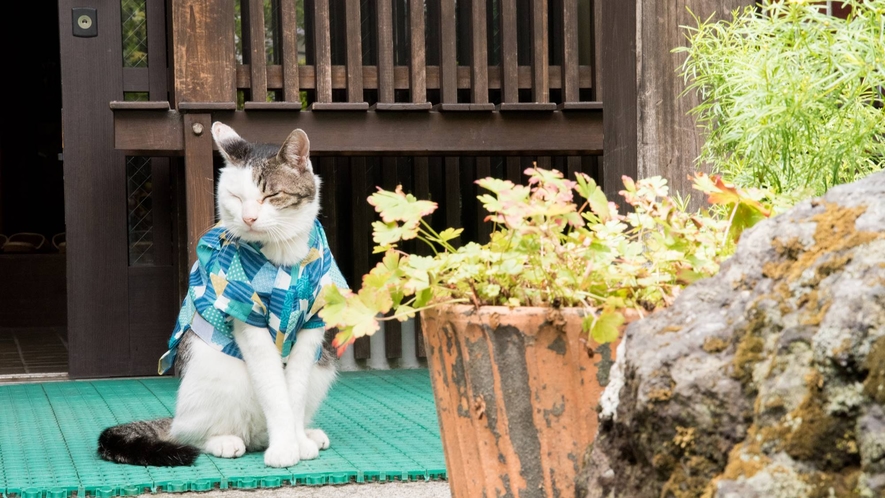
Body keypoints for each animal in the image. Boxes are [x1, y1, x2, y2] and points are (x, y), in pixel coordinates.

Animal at [96, 121, 346, 466]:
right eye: (236, 197)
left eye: (271, 195)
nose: (249, 218)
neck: (285, 258)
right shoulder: (246, 316)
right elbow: (275, 392)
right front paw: (285, 449)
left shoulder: (312, 325)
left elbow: (292, 393)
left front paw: (296, 441)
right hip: (215, 375)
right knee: (192, 433)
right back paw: (226, 441)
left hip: (323, 366)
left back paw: (308, 435)